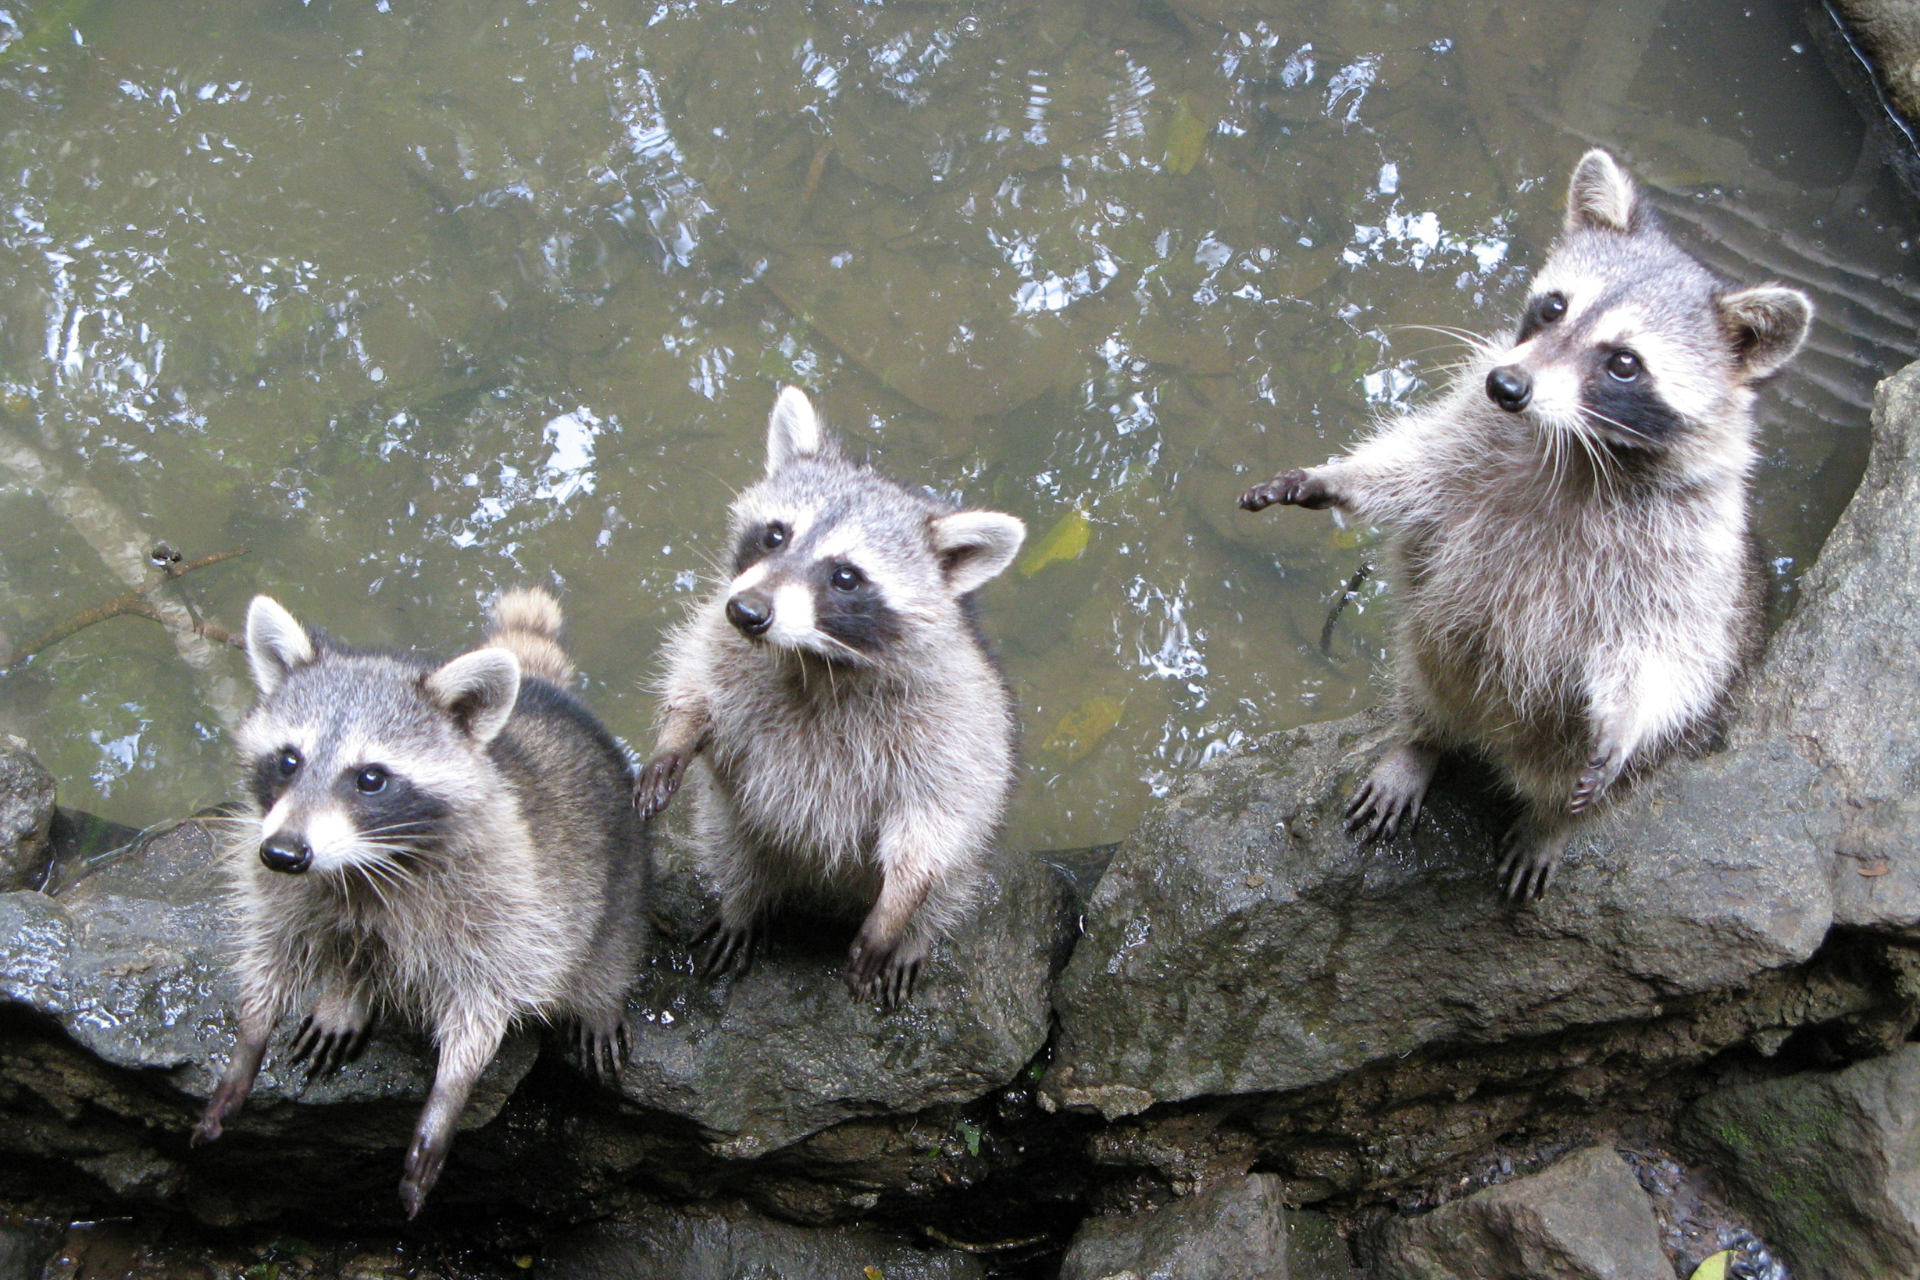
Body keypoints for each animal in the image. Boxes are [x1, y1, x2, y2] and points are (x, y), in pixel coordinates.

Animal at [194, 587, 648, 1220]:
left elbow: (481, 1009)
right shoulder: (281, 885)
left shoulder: (505, 907)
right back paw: (348, 993)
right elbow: (272, 955)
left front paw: (447, 1097)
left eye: (370, 778)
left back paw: (600, 998)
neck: (358, 865)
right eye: (288, 760)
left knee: (607, 937)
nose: (284, 853)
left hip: (617, 863)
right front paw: (248, 1040)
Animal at [637, 391, 1029, 1013]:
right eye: (775, 535)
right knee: (734, 845)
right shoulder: (722, 643)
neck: (812, 659)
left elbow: (934, 824)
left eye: (846, 577)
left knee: (952, 874)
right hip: (731, 822)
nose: (747, 611)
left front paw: (896, 911)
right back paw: (741, 904)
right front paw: (675, 735)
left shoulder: (955, 724)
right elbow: (696, 685)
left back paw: (914, 935)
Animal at [1236, 147, 1804, 901]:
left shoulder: (1692, 545)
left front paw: (1626, 718)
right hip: (1433, 659)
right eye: (1554, 305)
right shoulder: (1467, 443)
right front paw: (1336, 478)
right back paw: (1419, 741)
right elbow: (1409, 475)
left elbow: (1667, 647)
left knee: (1617, 763)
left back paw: (1552, 820)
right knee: (1424, 673)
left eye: (1624, 363)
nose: (1507, 386)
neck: (1572, 447)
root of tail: (1496, 741)